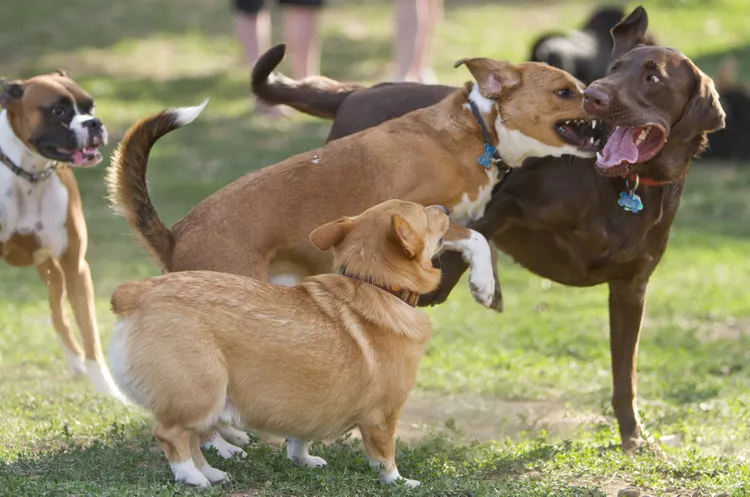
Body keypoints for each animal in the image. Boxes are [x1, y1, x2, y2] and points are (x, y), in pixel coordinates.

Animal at [0, 70, 123, 400]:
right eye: (58, 111)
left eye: (90, 107)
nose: (95, 123)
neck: (28, 174)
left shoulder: (74, 266)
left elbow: (90, 334)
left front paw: (107, 390)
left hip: (50, 268)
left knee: (57, 311)